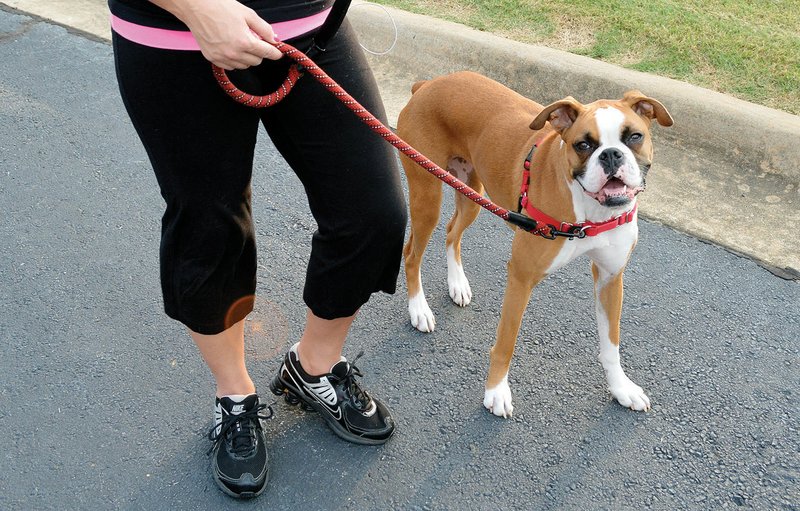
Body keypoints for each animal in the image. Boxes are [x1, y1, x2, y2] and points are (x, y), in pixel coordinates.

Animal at [396, 71, 672, 416]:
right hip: (428, 195)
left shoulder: (610, 278)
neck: (588, 214)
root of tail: (428, 84)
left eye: (634, 137)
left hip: (471, 194)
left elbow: (611, 344)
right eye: (583, 144)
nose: (611, 154)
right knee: (411, 254)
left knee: (451, 232)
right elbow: (506, 341)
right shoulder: (521, 277)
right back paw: (419, 310)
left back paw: (457, 284)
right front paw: (496, 391)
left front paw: (621, 388)